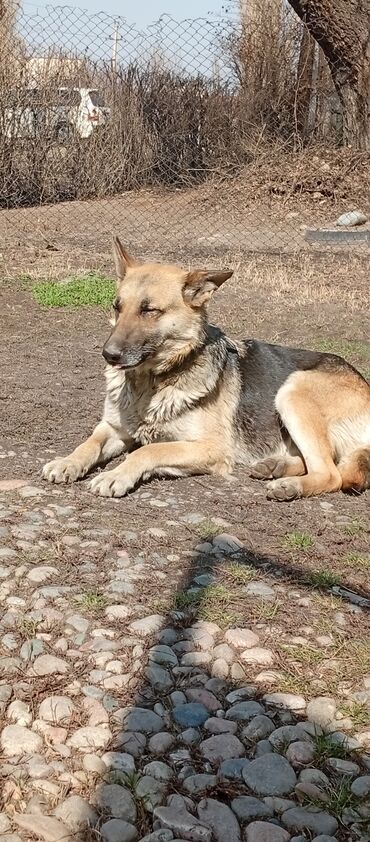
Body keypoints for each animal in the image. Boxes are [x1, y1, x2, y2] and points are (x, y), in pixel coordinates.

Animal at [42, 236, 370, 498]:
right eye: (117, 306)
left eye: (150, 310)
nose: (108, 355)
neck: (153, 383)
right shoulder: (112, 428)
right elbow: (89, 443)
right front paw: (67, 462)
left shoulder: (210, 448)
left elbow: (150, 449)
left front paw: (115, 475)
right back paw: (275, 466)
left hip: (292, 391)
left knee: (331, 473)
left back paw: (290, 485)